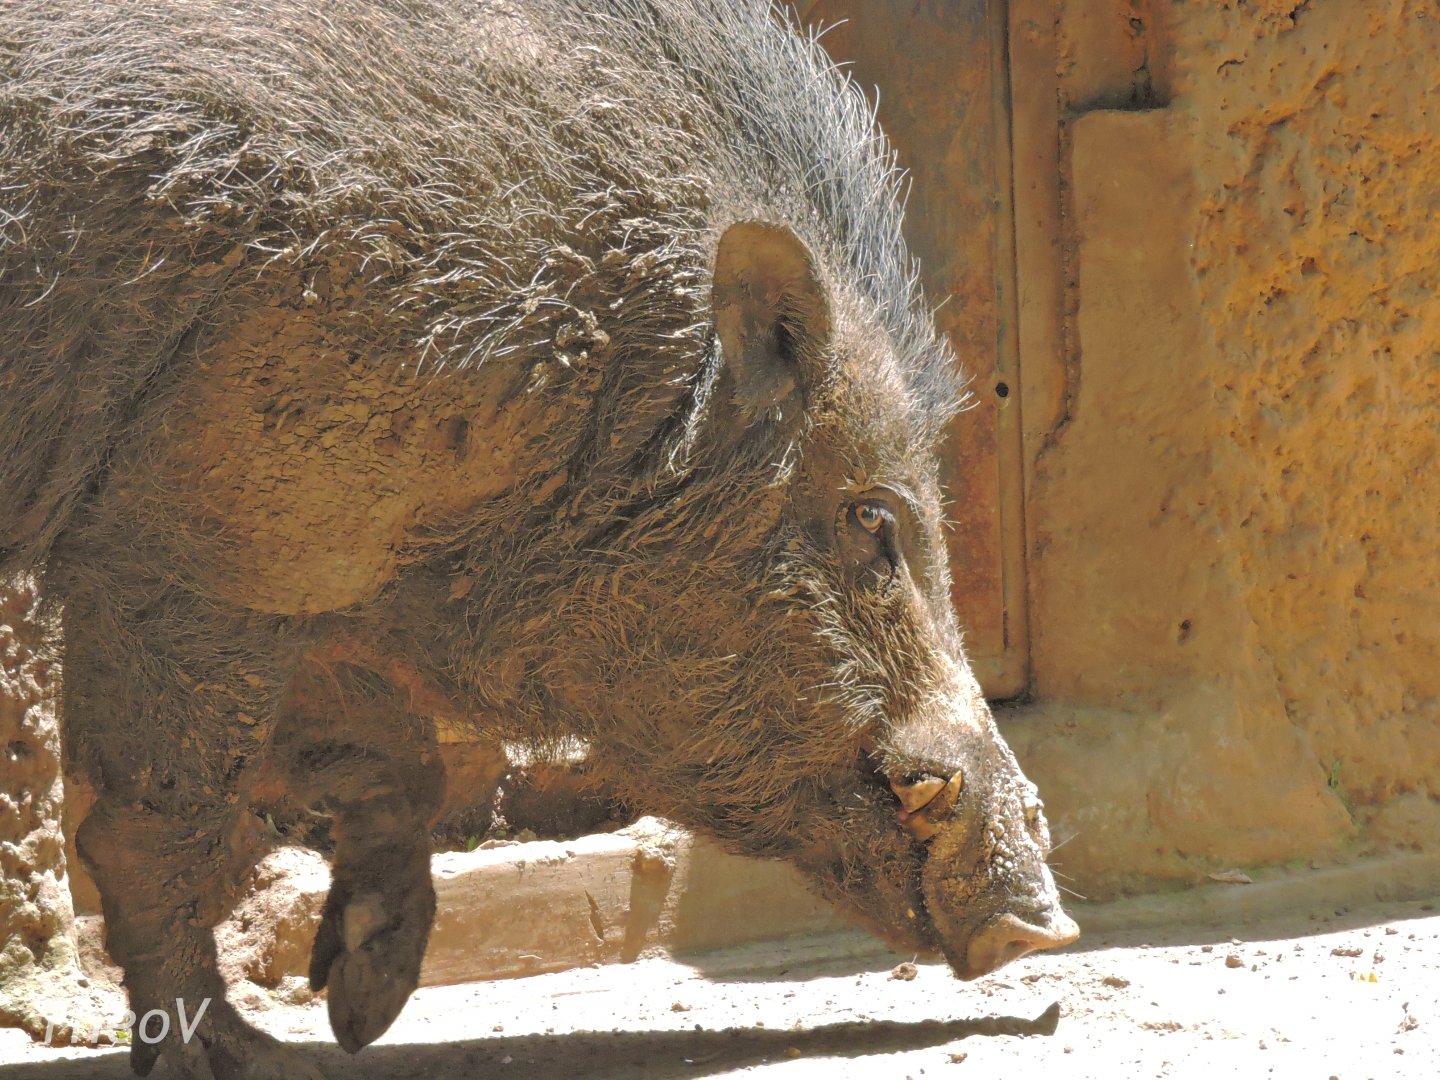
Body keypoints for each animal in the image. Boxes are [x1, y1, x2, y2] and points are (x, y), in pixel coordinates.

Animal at [0, 0, 1077, 1076]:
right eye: (873, 516)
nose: (1047, 929)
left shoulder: (318, 587)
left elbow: (400, 760)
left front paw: (362, 1009)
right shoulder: (203, 564)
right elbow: (152, 832)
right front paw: (261, 1056)